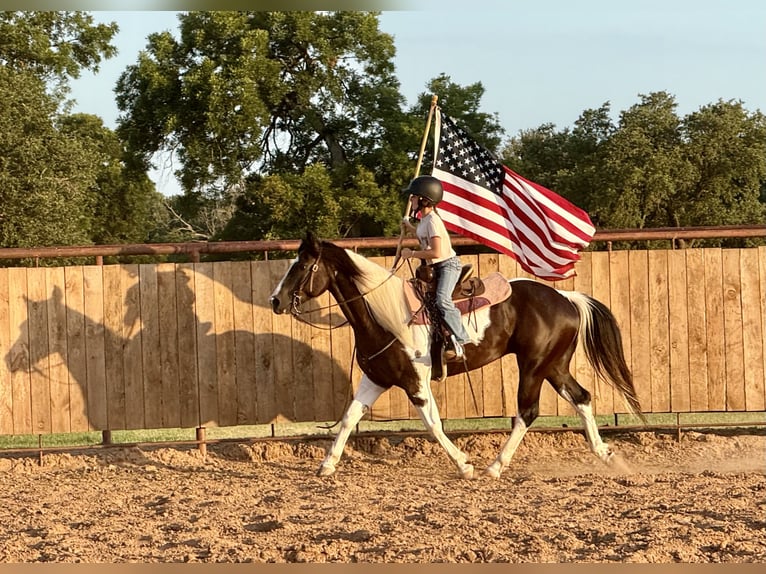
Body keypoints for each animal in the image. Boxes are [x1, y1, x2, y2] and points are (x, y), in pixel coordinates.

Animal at [270, 232, 645, 479]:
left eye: (303, 266)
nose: (275, 300)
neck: (384, 314)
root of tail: (566, 298)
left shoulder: (416, 383)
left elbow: (433, 424)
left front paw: (464, 465)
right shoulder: (375, 379)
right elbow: (349, 417)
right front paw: (327, 465)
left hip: (533, 366)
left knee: (527, 412)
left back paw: (495, 467)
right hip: (554, 366)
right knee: (582, 398)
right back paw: (606, 455)